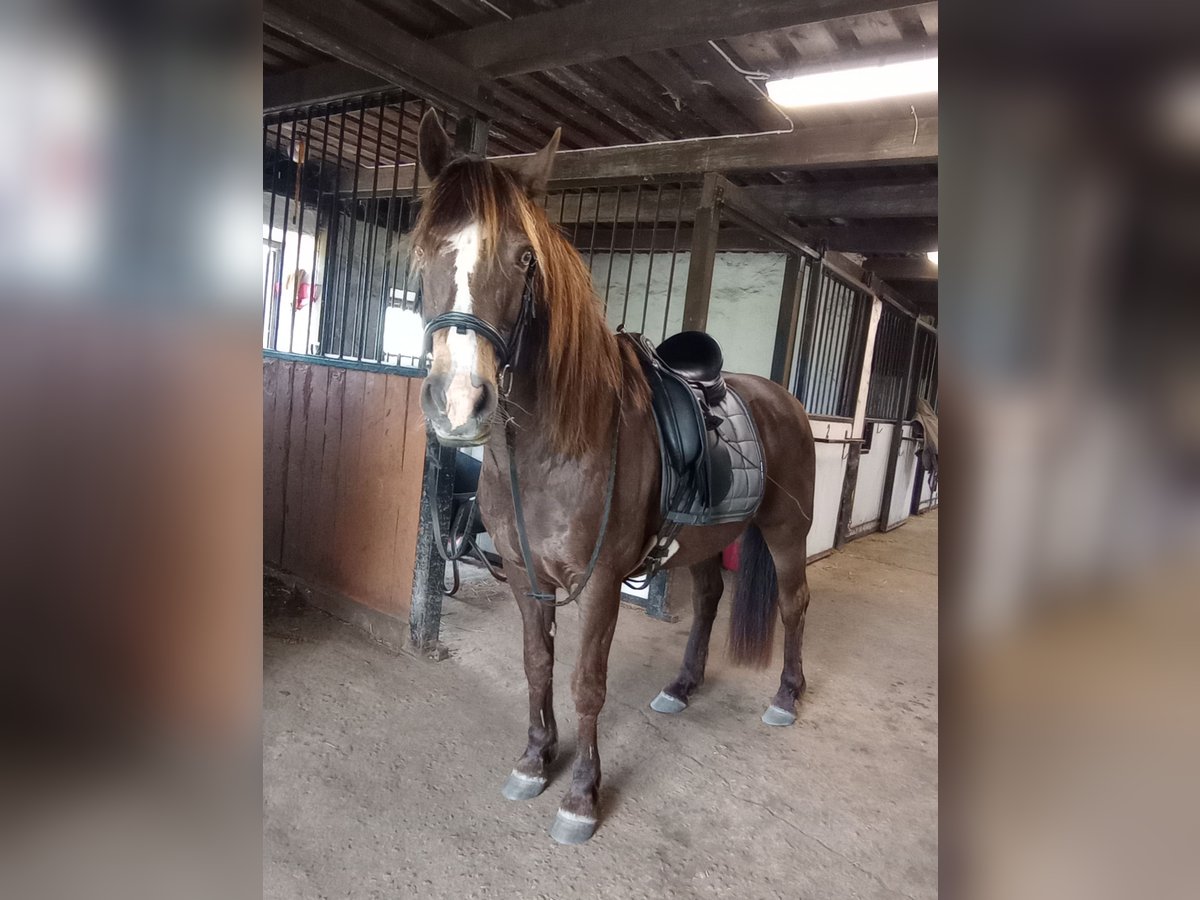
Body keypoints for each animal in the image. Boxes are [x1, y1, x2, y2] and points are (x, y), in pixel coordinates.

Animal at [412, 111, 816, 844]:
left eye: (524, 257)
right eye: (426, 248)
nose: (459, 404)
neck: (550, 450)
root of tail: (783, 399)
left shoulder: (599, 581)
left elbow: (585, 682)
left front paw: (580, 797)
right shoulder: (524, 573)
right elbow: (537, 665)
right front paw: (534, 760)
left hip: (785, 531)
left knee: (794, 603)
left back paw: (786, 697)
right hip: (709, 538)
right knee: (709, 598)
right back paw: (682, 687)